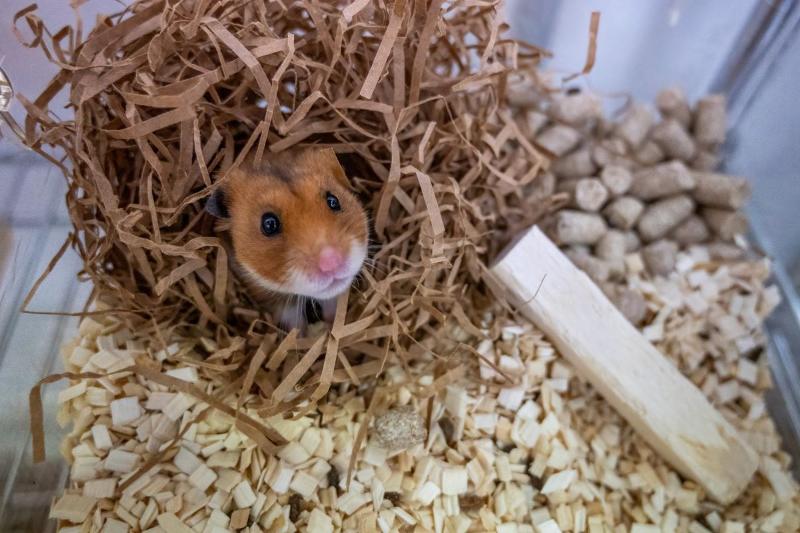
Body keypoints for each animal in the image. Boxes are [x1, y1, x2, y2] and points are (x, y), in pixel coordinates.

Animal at [205, 147, 368, 332]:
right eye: (269, 224)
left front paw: (330, 325)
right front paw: (302, 334)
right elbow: (292, 319)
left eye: (333, 200)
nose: (332, 262)